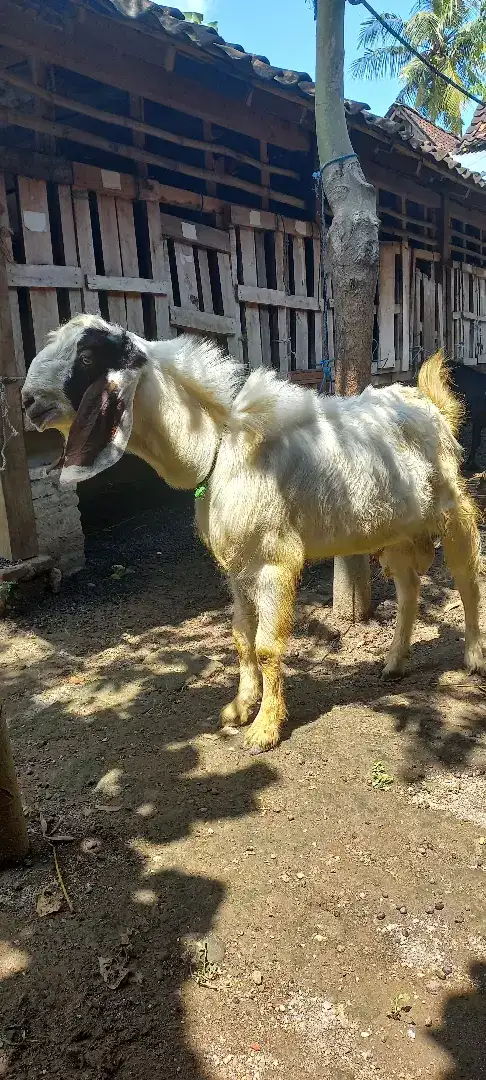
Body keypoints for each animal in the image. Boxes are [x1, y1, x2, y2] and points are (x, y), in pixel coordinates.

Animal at [21, 313, 481, 751]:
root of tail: (430, 404)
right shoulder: (237, 564)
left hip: (452, 508)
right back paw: (395, 663)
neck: (218, 448)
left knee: (466, 578)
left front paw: (265, 729)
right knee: (408, 591)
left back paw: (474, 657)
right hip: (396, 531)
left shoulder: (273, 561)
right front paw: (241, 707)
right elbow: (241, 637)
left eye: (86, 357)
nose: (27, 401)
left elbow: (266, 646)